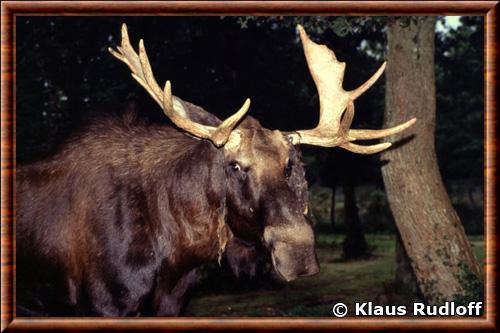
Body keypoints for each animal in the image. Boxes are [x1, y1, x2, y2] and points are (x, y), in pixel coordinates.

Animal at [16, 24, 414, 316]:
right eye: (235, 165)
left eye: (290, 164)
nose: (298, 253)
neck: (176, 254)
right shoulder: (105, 303)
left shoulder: (174, 302)